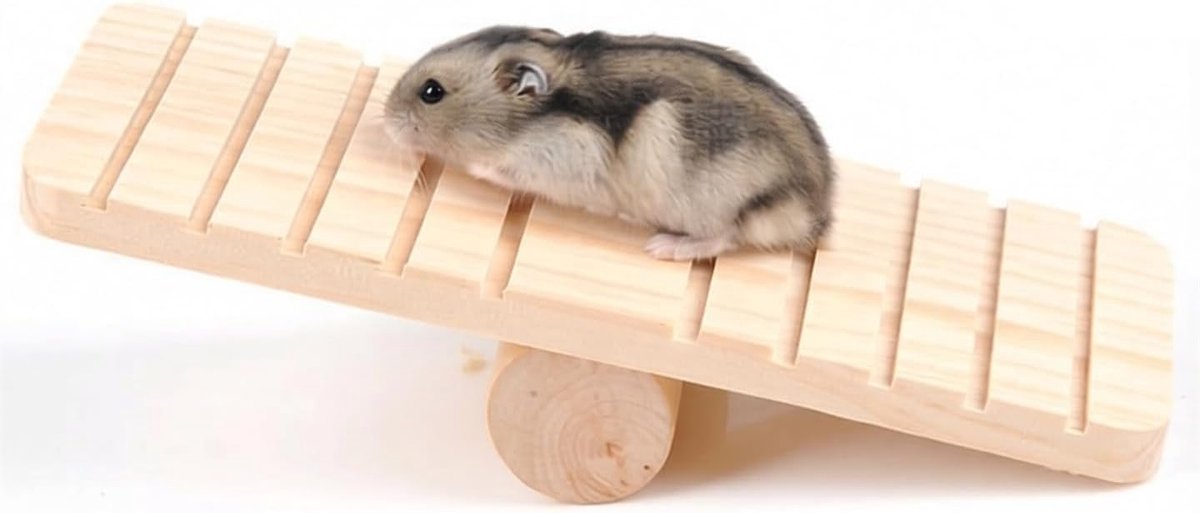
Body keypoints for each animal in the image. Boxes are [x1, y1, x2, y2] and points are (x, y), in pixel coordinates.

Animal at [383, 25, 835, 261]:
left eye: (431, 92)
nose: (385, 119)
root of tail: (815, 216)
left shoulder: (556, 163)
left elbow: (502, 169)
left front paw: (476, 167)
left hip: (721, 204)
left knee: (724, 237)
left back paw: (663, 246)